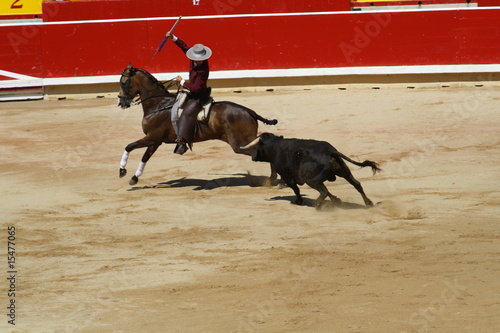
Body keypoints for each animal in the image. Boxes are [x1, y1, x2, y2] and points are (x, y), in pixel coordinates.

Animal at [118, 63, 282, 185]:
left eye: (124, 82)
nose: (120, 102)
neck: (158, 104)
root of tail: (249, 111)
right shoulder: (155, 141)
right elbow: (145, 157)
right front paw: (134, 177)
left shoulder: (152, 137)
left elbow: (129, 146)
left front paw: (122, 170)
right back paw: (275, 179)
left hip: (240, 144)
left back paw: (274, 179)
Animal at [241, 133, 378, 208]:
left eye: (257, 146)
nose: (253, 157)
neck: (275, 146)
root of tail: (330, 151)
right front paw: (337, 201)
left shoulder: (286, 175)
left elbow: (295, 188)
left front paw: (298, 201)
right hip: (344, 172)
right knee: (356, 184)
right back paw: (369, 203)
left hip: (311, 179)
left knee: (323, 191)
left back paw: (317, 205)